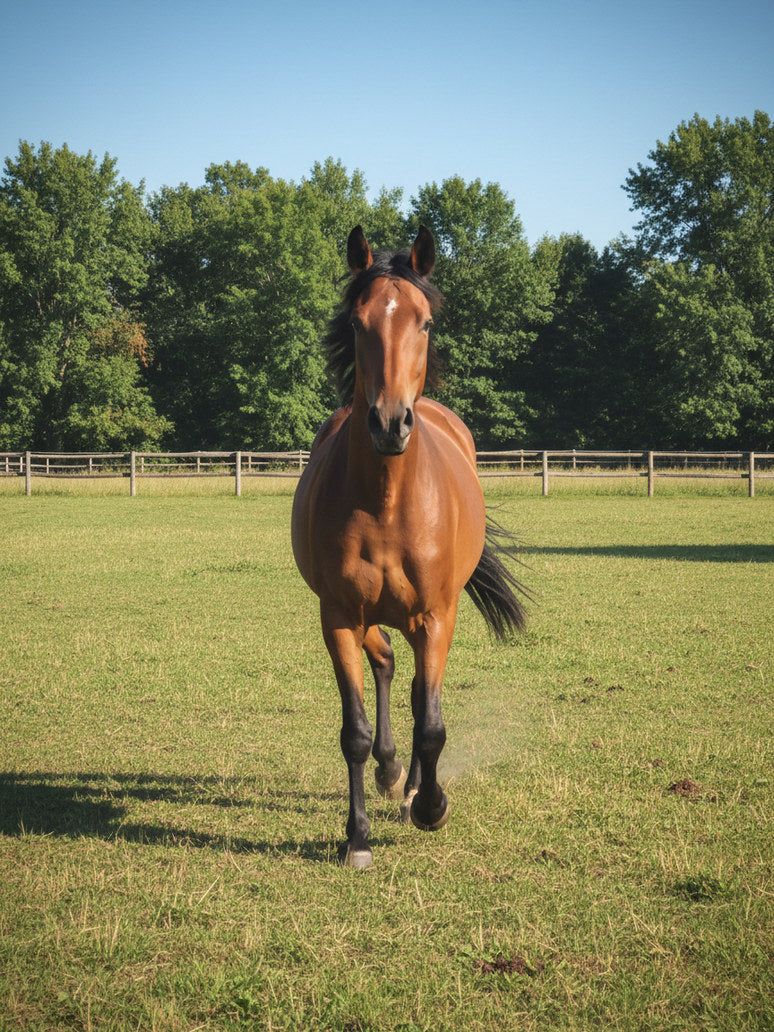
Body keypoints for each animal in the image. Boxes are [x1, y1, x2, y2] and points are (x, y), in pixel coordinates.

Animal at [291, 225, 525, 867]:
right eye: (357, 323)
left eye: (423, 322)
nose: (390, 423)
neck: (387, 503)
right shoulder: (338, 616)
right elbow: (354, 732)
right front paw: (357, 837)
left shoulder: (436, 614)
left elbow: (432, 722)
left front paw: (431, 807)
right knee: (387, 664)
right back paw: (392, 772)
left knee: (421, 694)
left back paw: (415, 788)